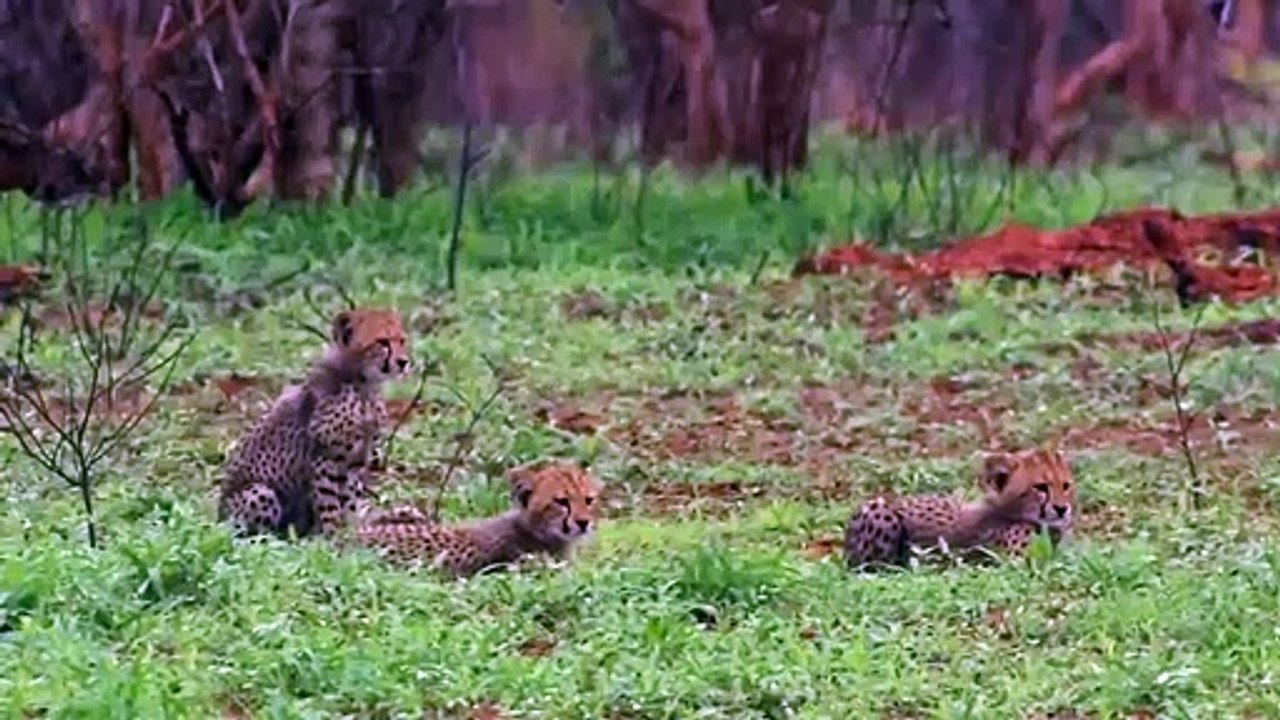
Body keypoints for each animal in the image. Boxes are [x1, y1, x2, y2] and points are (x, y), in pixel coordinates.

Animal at [217, 308, 411, 538]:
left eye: (402, 340)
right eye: (382, 342)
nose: (404, 362)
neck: (364, 387)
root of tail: (218, 515)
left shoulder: (353, 462)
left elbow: (350, 501)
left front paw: (351, 531)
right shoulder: (325, 458)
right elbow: (329, 503)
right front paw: (333, 534)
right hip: (261, 491)